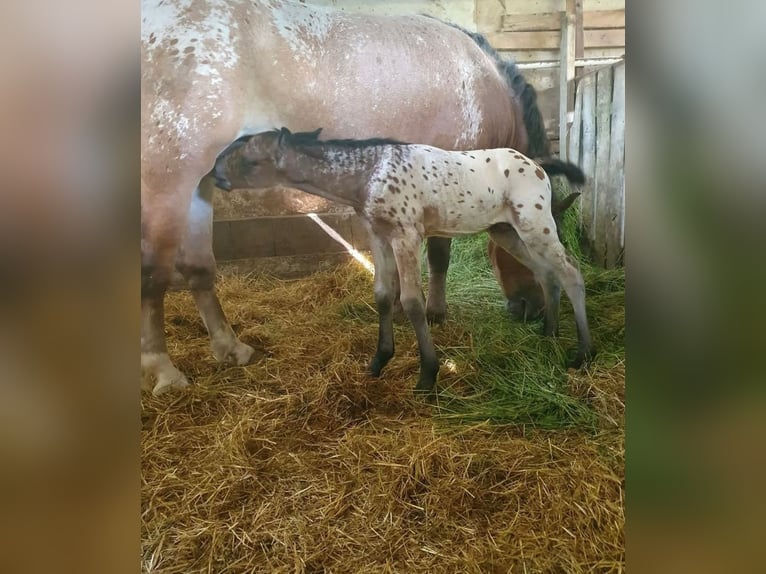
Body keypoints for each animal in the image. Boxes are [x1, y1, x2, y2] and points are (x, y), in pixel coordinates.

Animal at [141, 0, 552, 395]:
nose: (532, 307)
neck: (485, 83)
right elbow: (439, 253)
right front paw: (435, 311)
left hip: (199, 183)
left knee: (198, 268)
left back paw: (230, 348)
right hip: (168, 183)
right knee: (152, 273)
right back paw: (164, 369)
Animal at [213, 128, 594, 393]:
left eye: (250, 161)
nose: (215, 175)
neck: (369, 175)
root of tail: (538, 166)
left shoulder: (406, 236)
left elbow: (411, 300)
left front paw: (427, 374)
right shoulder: (378, 236)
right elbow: (383, 294)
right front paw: (379, 360)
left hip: (535, 224)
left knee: (571, 272)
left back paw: (583, 354)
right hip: (507, 231)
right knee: (546, 273)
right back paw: (548, 333)